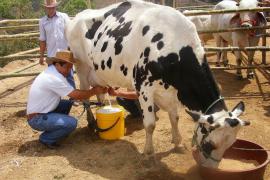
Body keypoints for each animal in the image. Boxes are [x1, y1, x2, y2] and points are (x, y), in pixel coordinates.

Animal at [66, 0, 251, 168]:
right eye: (210, 145)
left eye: (230, 145)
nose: (210, 169)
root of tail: (78, 16)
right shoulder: (144, 87)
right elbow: (150, 125)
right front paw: (148, 154)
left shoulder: (173, 90)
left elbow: (174, 118)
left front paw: (178, 143)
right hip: (81, 67)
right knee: (84, 95)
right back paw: (91, 122)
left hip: (98, 72)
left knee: (99, 92)